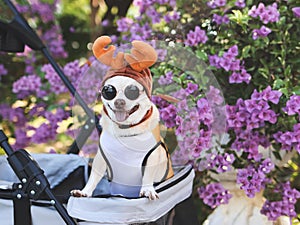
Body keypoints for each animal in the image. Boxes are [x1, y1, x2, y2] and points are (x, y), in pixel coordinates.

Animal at [71, 36, 173, 200]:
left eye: (132, 91)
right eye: (108, 91)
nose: (119, 101)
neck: (125, 129)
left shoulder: (152, 156)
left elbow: (147, 176)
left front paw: (148, 189)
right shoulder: (101, 158)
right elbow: (94, 176)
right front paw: (85, 191)